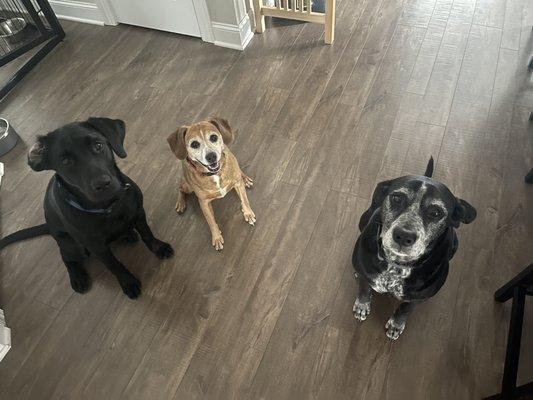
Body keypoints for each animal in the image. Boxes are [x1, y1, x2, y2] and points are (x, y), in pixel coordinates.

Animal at [0, 117, 174, 298]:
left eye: (98, 145)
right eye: (65, 161)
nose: (102, 184)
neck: (109, 207)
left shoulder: (139, 213)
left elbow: (147, 234)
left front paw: (159, 248)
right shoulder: (96, 247)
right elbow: (114, 265)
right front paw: (128, 282)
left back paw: (128, 235)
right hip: (73, 246)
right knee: (67, 257)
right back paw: (78, 277)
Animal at [167, 117, 256, 252]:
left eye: (213, 137)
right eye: (194, 144)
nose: (211, 156)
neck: (215, 174)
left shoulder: (237, 184)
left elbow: (245, 200)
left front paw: (248, 213)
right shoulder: (204, 203)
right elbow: (211, 221)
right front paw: (217, 237)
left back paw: (245, 178)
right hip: (188, 187)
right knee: (180, 188)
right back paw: (180, 203)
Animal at [352, 158, 476, 340]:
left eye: (436, 213)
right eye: (396, 198)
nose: (403, 235)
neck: (396, 266)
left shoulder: (418, 299)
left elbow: (405, 309)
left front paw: (396, 324)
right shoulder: (365, 274)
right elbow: (363, 288)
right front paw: (362, 305)